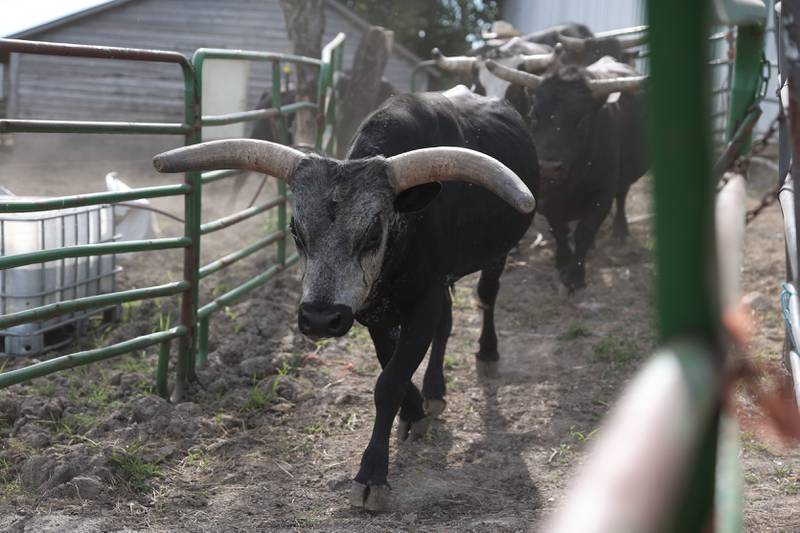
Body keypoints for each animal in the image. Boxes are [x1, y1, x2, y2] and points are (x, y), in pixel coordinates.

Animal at [152, 90, 536, 512]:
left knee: (486, 298)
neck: (407, 230)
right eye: (295, 230)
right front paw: (415, 411)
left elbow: (389, 383)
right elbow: (391, 368)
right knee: (448, 322)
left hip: (495, 257)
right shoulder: (375, 311)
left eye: (372, 232)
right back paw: (434, 392)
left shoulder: (424, 301)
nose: (320, 319)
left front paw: (372, 475)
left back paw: (486, 354)